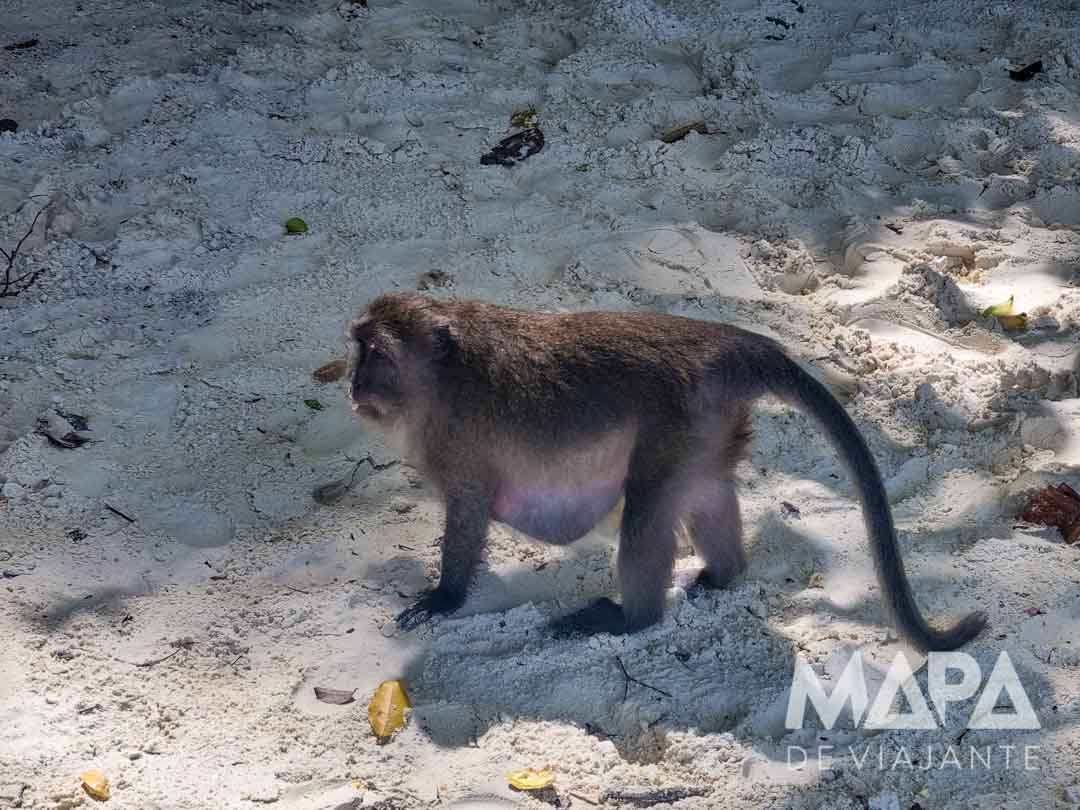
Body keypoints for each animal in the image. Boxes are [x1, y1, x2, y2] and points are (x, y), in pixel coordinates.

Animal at [346, 293, 986, 653]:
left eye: (377, 355)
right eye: (357, 348)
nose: (352, 385)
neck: (445, 375)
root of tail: (727, 344)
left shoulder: (458, 449)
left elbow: (469, 515)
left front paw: (444, 598)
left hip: (677, 423)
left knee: (648, 506)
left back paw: (633, 620)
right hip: (708, 427)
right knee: (705, 491)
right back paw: (725, 575)